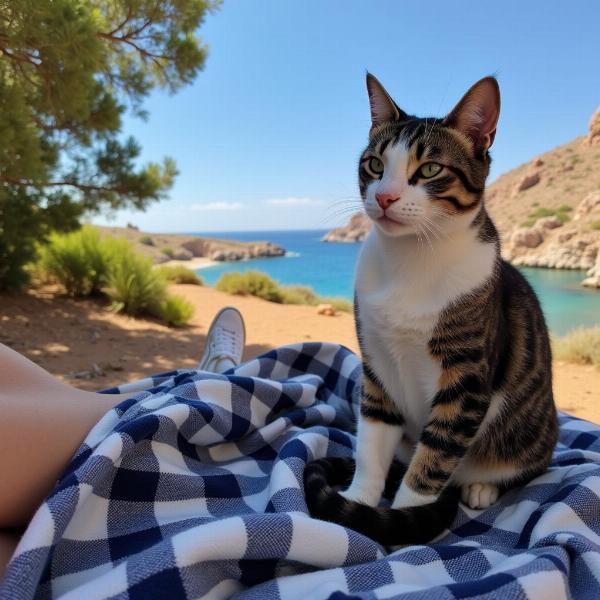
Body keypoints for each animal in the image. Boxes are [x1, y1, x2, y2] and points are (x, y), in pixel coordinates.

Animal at [304, 72, 556, 548]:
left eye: (430, 169)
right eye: (374, 165)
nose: (385, 197)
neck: (411, 262)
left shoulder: (466, 383)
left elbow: (430, 464)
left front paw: (402, 523)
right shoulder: (377, 366)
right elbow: (371, 446)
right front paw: (358, 505)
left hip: (529, 431)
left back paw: (481, 486)